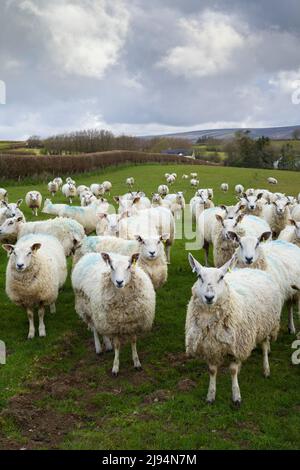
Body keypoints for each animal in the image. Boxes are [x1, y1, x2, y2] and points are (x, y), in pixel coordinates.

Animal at [186, 255, 282, 406]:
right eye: (199, 276)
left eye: (221, 277)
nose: (209, 297)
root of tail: (252, 269)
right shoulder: (210, 347)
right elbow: (212, 371)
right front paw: (210, 396)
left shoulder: (238, 346)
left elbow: (233, 370)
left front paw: (236, 396)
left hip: (267, 325)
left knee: (265, 346)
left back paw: (266, 370)